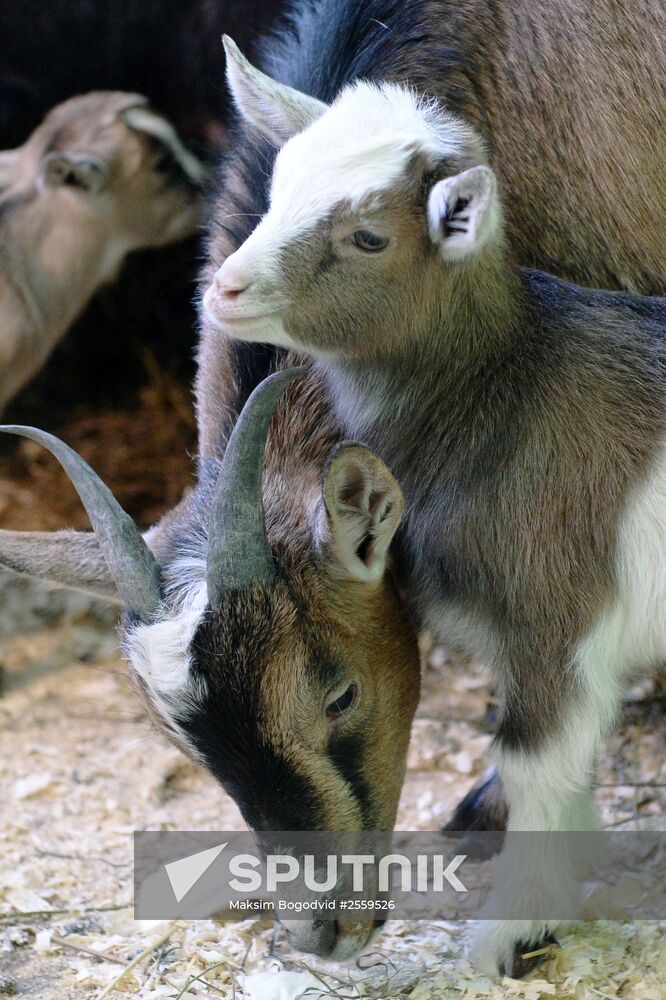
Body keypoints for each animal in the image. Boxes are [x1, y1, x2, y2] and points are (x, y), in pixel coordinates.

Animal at [206, 47, 664, 976]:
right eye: (276, 190)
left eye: (368, 235)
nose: (226, 288)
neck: (504, 383)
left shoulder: (555, 619)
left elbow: (531, 767)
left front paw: (508, 933)